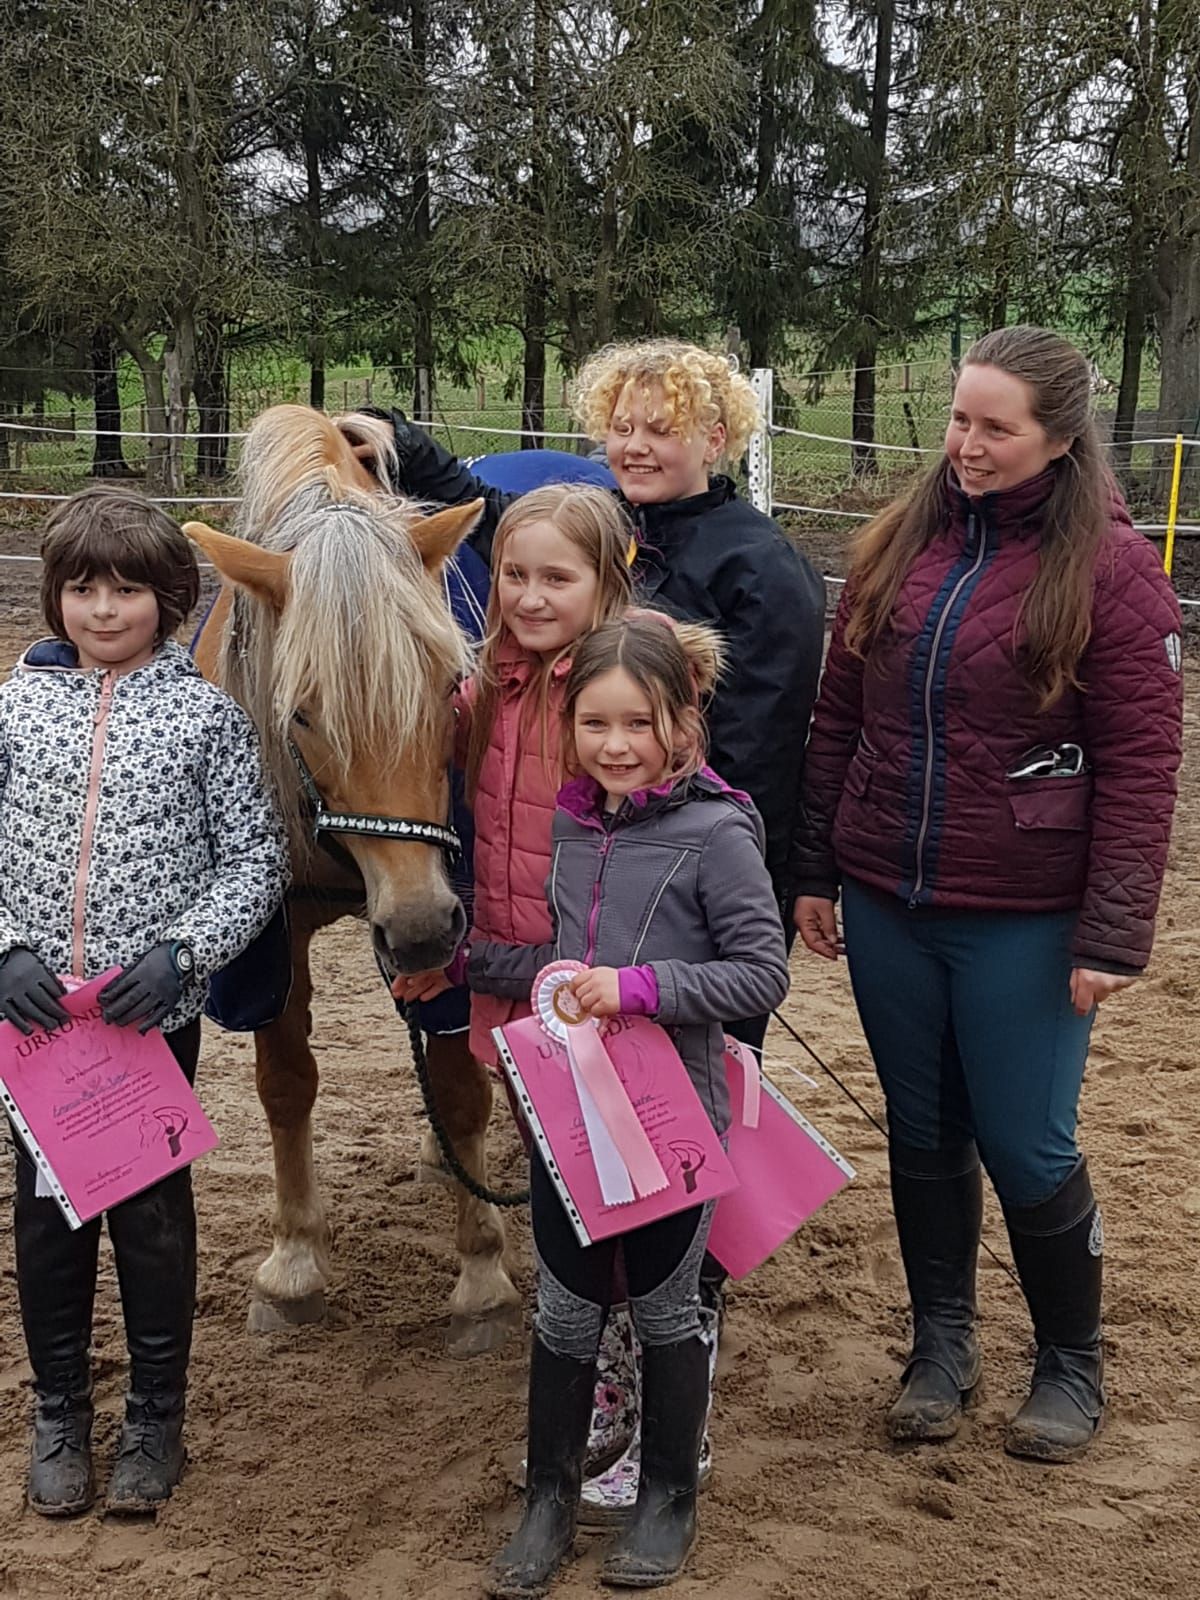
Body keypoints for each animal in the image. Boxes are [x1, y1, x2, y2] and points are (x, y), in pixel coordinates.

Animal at [184, 405, 522, 1357]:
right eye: (300, 711)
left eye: (450, 683)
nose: (419, 928)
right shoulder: (268, 931)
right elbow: (285, 1081)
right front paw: (294, 1262)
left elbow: (460, 1083)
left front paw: (481, 1274)